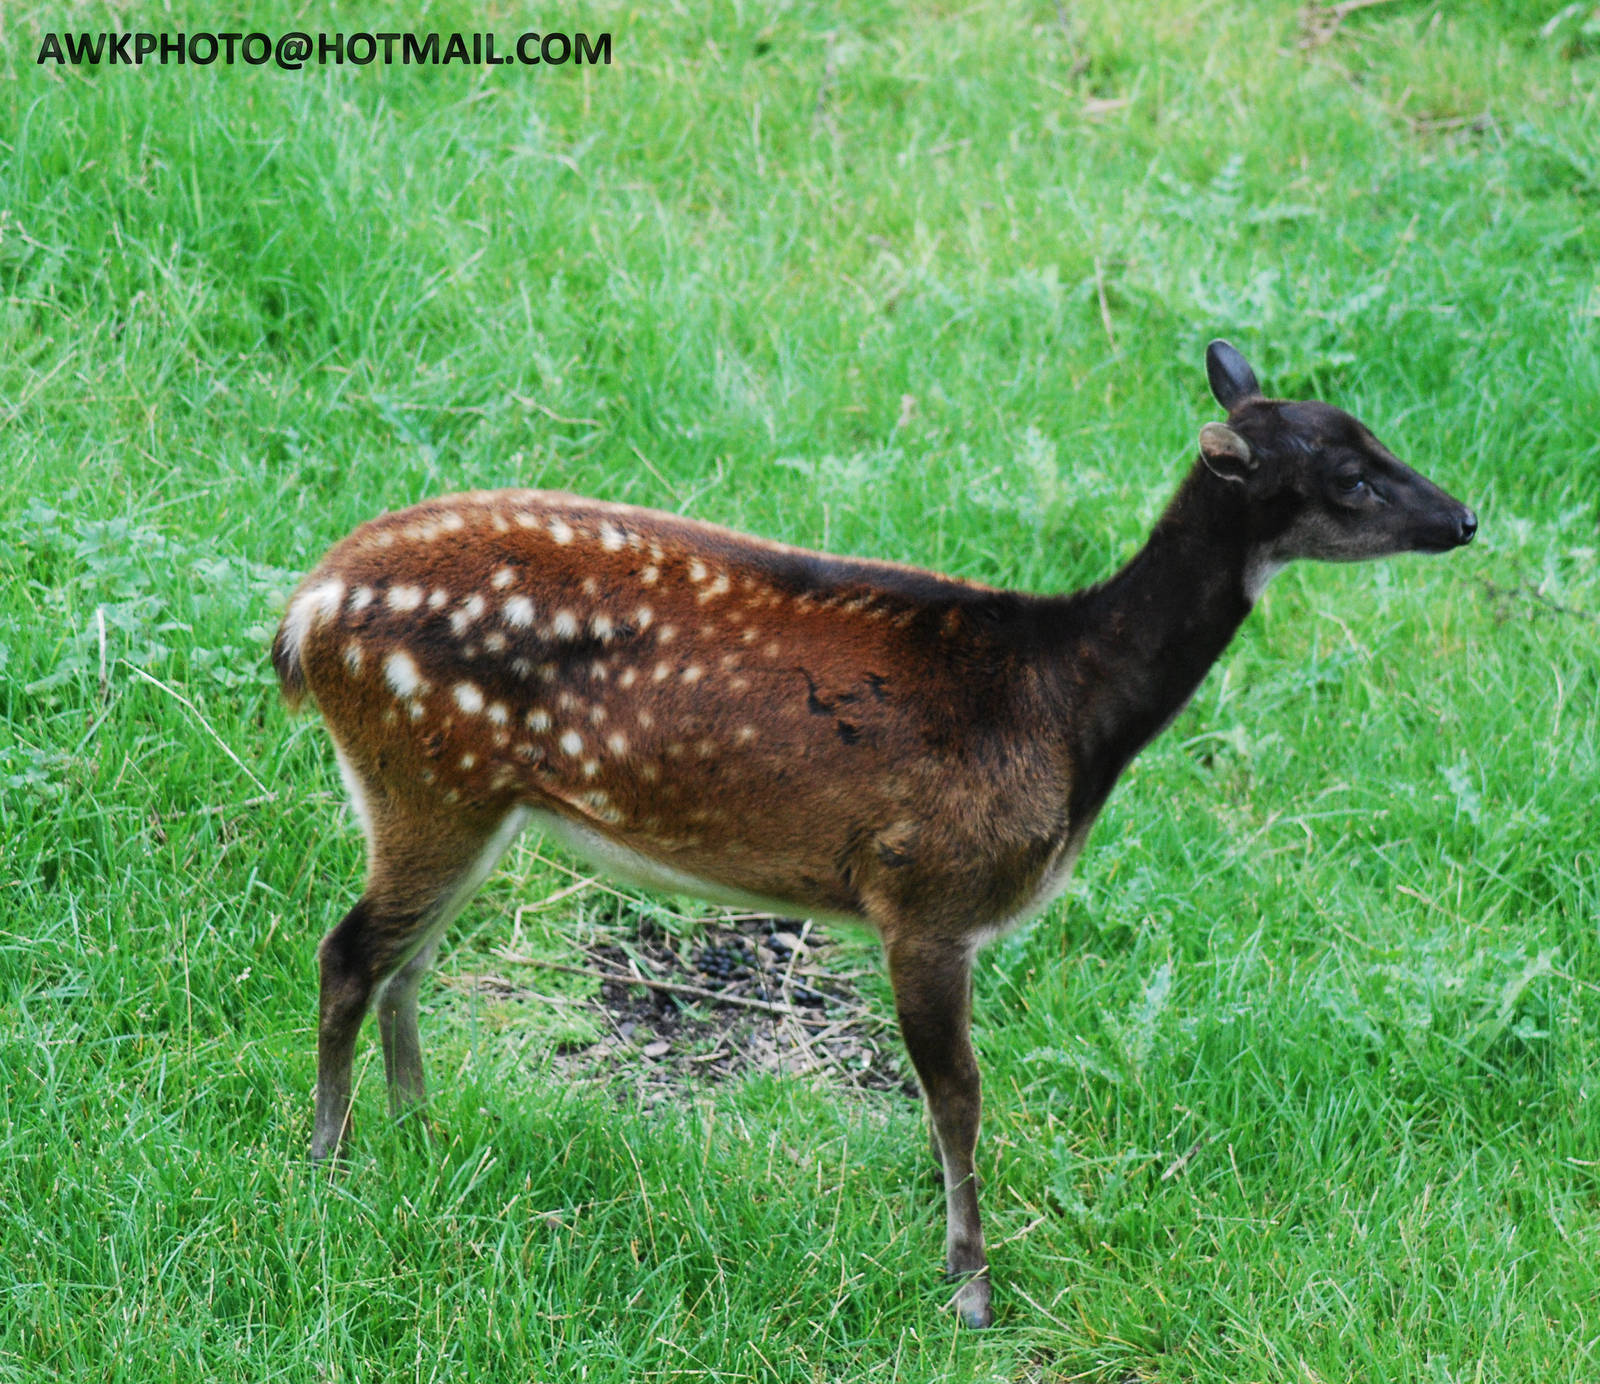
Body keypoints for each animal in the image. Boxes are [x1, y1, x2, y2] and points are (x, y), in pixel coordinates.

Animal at [271, 341, 1476, 1328]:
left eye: (1378, 436)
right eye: (1349, 479)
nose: (1465, 519)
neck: (1069, 710)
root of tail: (302, 616)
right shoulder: (927, 891)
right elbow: (958, 1095)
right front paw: (973, 1288)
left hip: (471, 800)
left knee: (405, 960)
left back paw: (421, 1131)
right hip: (430, 775)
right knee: (348, 952)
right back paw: (329, 1167)